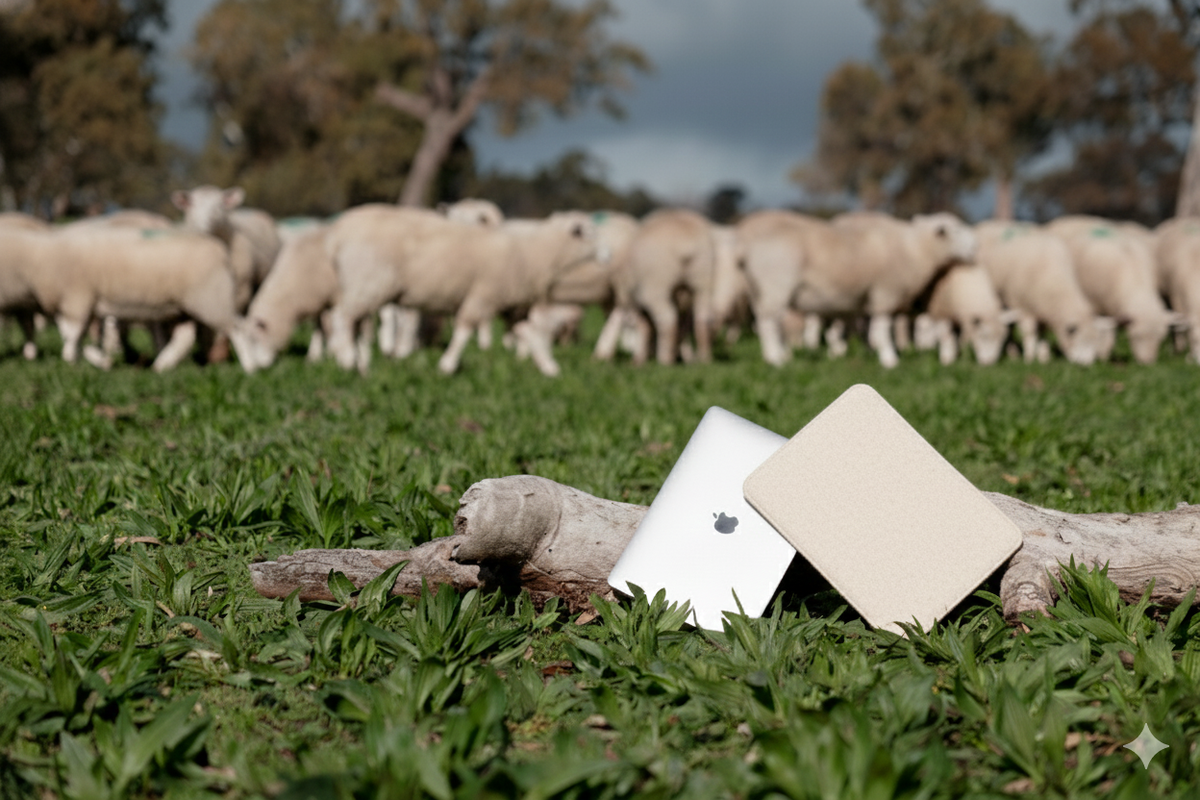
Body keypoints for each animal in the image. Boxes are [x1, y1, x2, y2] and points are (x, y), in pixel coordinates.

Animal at [325, 206, 599, 376]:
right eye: (587, 233)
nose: (606, 254)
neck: (530, 254)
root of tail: (338, 233)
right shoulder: (482, 295)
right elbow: (463, 331)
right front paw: (447, 365)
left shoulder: (510, 308)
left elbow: (529, 333)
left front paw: (549, 366)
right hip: (369, 283)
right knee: (342, 318)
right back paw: (346, 358)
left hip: (365, 287)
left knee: (355, 325)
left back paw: (361, 365)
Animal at [594, 208, 716, 366]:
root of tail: (686, 244)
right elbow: (654, 326)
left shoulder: (636, 301)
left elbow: (644, 325)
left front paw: (638, 359)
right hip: (703, 280)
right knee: (703, 318)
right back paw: (704, 358)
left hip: (657, 286)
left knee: (667, 319)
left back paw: (665, 359)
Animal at [974, 221, 1112, 365]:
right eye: (1080, 339)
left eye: (1095, 339)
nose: (1087, 364)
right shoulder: (1024, 308)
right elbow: (1029, 334)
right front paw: (1029, 357)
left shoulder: (1044, 311)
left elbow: (1044, 335)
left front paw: (1043, 356)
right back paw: (1013, 351)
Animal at [1046, 215, 1179, 364]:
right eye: (1136, 336)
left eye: (1161, 338)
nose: (1147, 363)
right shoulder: (1099, 306)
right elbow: (1104, 332)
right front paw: (1102, 355)